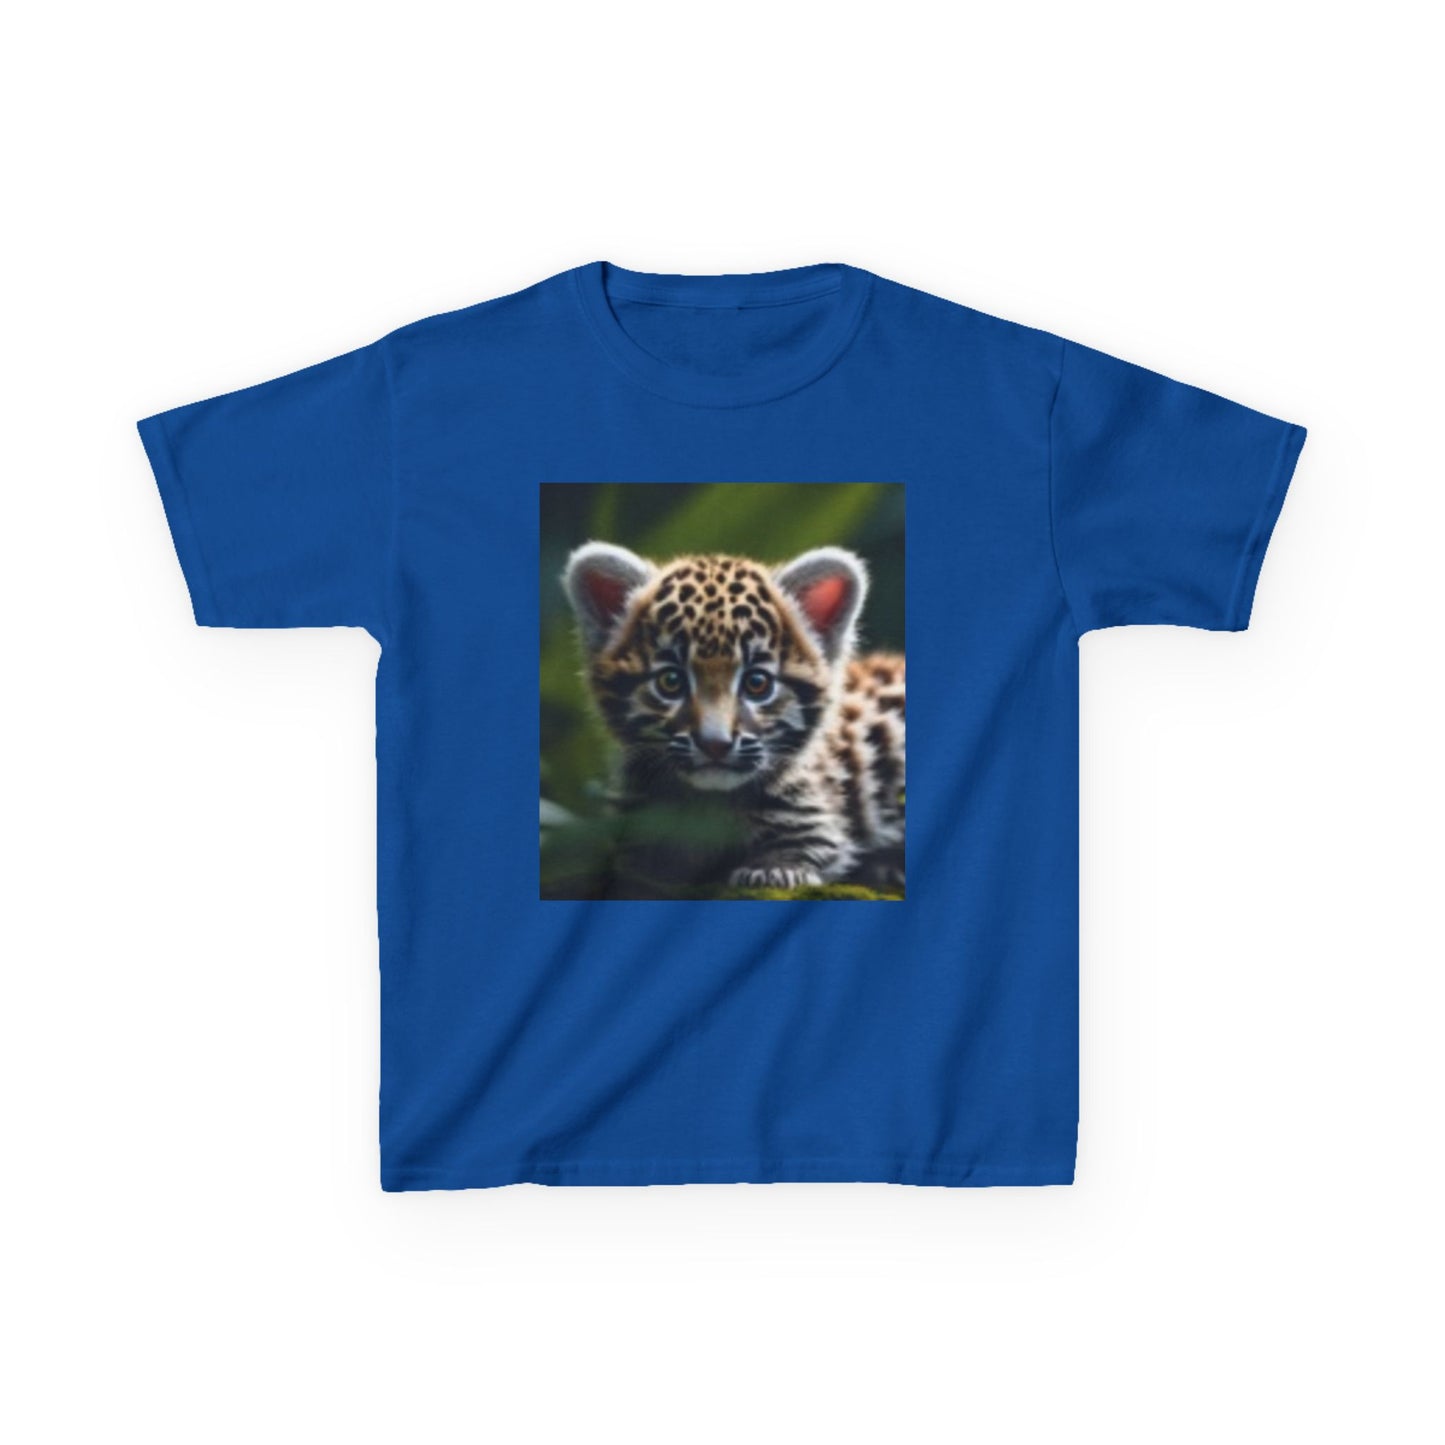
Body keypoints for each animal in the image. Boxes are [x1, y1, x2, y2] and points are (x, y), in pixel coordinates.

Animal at [563, 542, 904, 896]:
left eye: (757, 683)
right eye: (671, 681)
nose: (715, 744)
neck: (708, 805)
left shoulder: (814, 820)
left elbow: (804, 847)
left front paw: (772, 871)